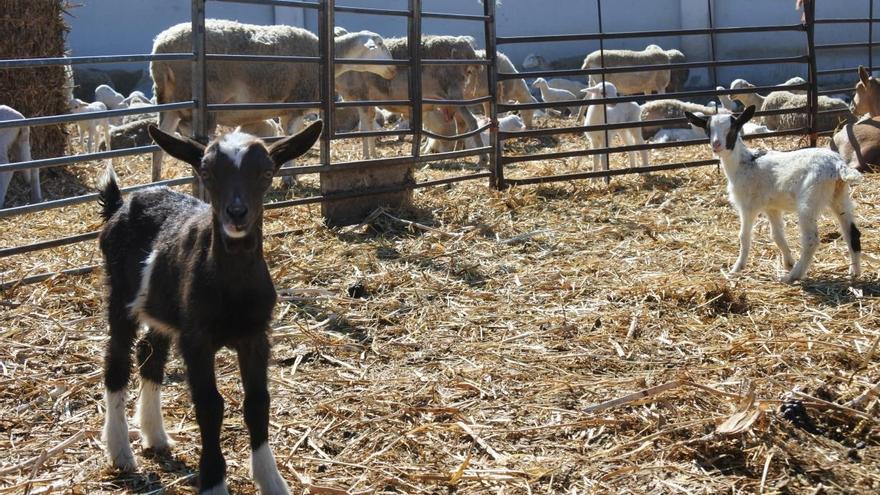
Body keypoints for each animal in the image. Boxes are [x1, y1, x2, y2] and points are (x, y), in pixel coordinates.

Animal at [98, 118, 324, 494]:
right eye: (205, 171)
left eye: (266, 172)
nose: (237, 213)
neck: (232, 287)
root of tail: (120, 204)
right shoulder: (197, 338)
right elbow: (210, 405)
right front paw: (214, 480)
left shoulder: (255, 335)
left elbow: (258, 402)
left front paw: (271, 479)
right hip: (120, 295)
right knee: (116, 361)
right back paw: (120, 452)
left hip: (164, 309)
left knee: (149, 355)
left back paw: (155, 435)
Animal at [151, 21, 396, 181]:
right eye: (380, 44)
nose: (394, 68)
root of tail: (161, 47)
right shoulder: (296, 103)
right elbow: (291, 136)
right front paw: (290, 177)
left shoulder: (289, 109)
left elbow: (291, 138)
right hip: (201, 104)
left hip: (169, 104)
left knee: (159, 143)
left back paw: (157, 180)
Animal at [336, 35, 488, 163]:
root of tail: (466, 48)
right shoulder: (368, 101)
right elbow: (369, 128)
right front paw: (371, 156)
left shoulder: (361, 96)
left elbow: (364, 130)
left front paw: (367, 157)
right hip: (449, 99)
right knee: (461, 123)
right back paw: (455, 153)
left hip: (453, 94)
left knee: (471, 121)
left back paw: (482, 157)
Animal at [684, 105, 864, 282]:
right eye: (708, 129)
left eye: (733, 128)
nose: (716, 145)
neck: (744, 163)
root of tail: (838, 166)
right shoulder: (772, 207)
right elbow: (777, 236)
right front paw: (788, 262)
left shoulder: (748, 206)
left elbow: (744, 236)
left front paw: (736, 269)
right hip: (839, 196)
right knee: (852, 232)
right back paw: (854, 272)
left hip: (809, 200)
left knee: (811, 240)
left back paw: (793, 276)